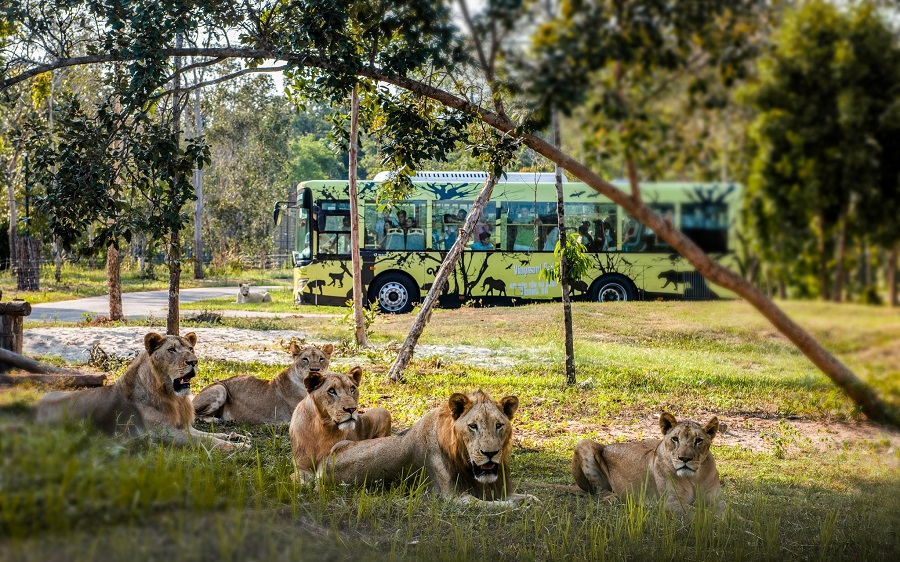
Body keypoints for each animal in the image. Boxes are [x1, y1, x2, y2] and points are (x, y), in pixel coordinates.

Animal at [35, 330, 248, 448]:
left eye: (191, 348)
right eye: (172, 350)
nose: (193, 361)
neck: (175, 398)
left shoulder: (183, 427)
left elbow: (210, 435)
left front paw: (237, 437)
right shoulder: (162, 433)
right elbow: (205, 441)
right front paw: (236, 448)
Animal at [193, 340, 334, 422]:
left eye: (321, 359)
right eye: (305, 359)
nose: (315, 369)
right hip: (220, 388)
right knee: (194, 415)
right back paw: (217, 420)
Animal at [320, 388, 536, 506]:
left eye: (498, 425)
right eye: (473, 426)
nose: (490, 453)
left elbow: (526, 497)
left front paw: (531, 501)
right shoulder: (454, 498)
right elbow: (500, 505)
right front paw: (520, 507)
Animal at [572, 412, 728, 512]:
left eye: (698, 441)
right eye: (675, 439)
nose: (684, 458)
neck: (694, 478)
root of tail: (606, 445)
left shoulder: (716, 499)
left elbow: (727, 511)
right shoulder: (670, 503)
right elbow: (700, 513)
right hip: (583, 443)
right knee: (597, 490)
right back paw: (612, 497)